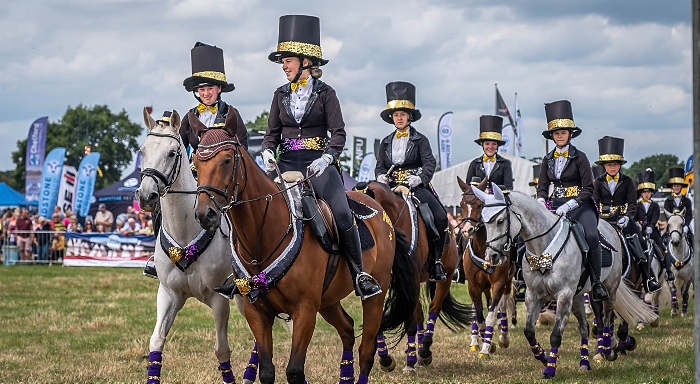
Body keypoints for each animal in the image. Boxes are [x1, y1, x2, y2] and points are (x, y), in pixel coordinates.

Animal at [135, 108, 258, 384]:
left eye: (172, 153)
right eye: (142, 150)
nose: (146, 195)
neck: (184, 234)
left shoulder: (218, 299)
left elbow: (221, 349)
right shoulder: (168, 294)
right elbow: (156, 341)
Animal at [191, 110, 418, 384]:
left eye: (226, 160)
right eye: (195, 164)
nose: (205, 214)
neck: (264, 234)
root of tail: (382, 212)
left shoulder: (305, 310)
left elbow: (295, 370)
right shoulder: (257, 312)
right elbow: (267, 370)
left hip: (376, 293)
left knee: (366, 350)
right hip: (329, 300)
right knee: (347, 329)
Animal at [352, 182, 474, 374]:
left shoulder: (411, 279)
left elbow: (409, 321)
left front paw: (409, 362)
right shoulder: (390, 282)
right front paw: (386, 359)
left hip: (444, 277)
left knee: (433, 308)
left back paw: (424, 350)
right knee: (419, 315)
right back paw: (419, 349)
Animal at [460, 176, 516, 356]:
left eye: (480, 205)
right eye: (462, 204)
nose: (467, 230)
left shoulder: (499, 283)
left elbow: (492, 314)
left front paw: (486, 347)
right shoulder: (472, 285)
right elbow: (479, 315)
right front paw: (486, 342)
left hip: (507, 282)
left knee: (502, 305)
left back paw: (503, 337)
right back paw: (475, 340)